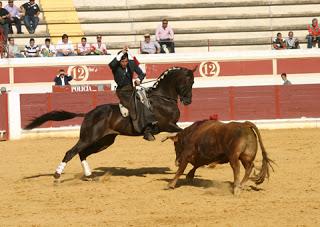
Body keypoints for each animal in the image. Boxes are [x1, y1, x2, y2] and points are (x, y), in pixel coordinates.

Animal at [25, 66, 195, 180]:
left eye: (193, 82)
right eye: (188, 82)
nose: (188, 101)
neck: (163, 98)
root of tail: (89, 113)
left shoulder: (170, 125)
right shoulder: (166, 124)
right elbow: (183, 131)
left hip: (104, 141)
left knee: (82, 153)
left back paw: (89, 175)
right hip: (89, 138)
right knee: (71, 152)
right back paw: (57, 175)